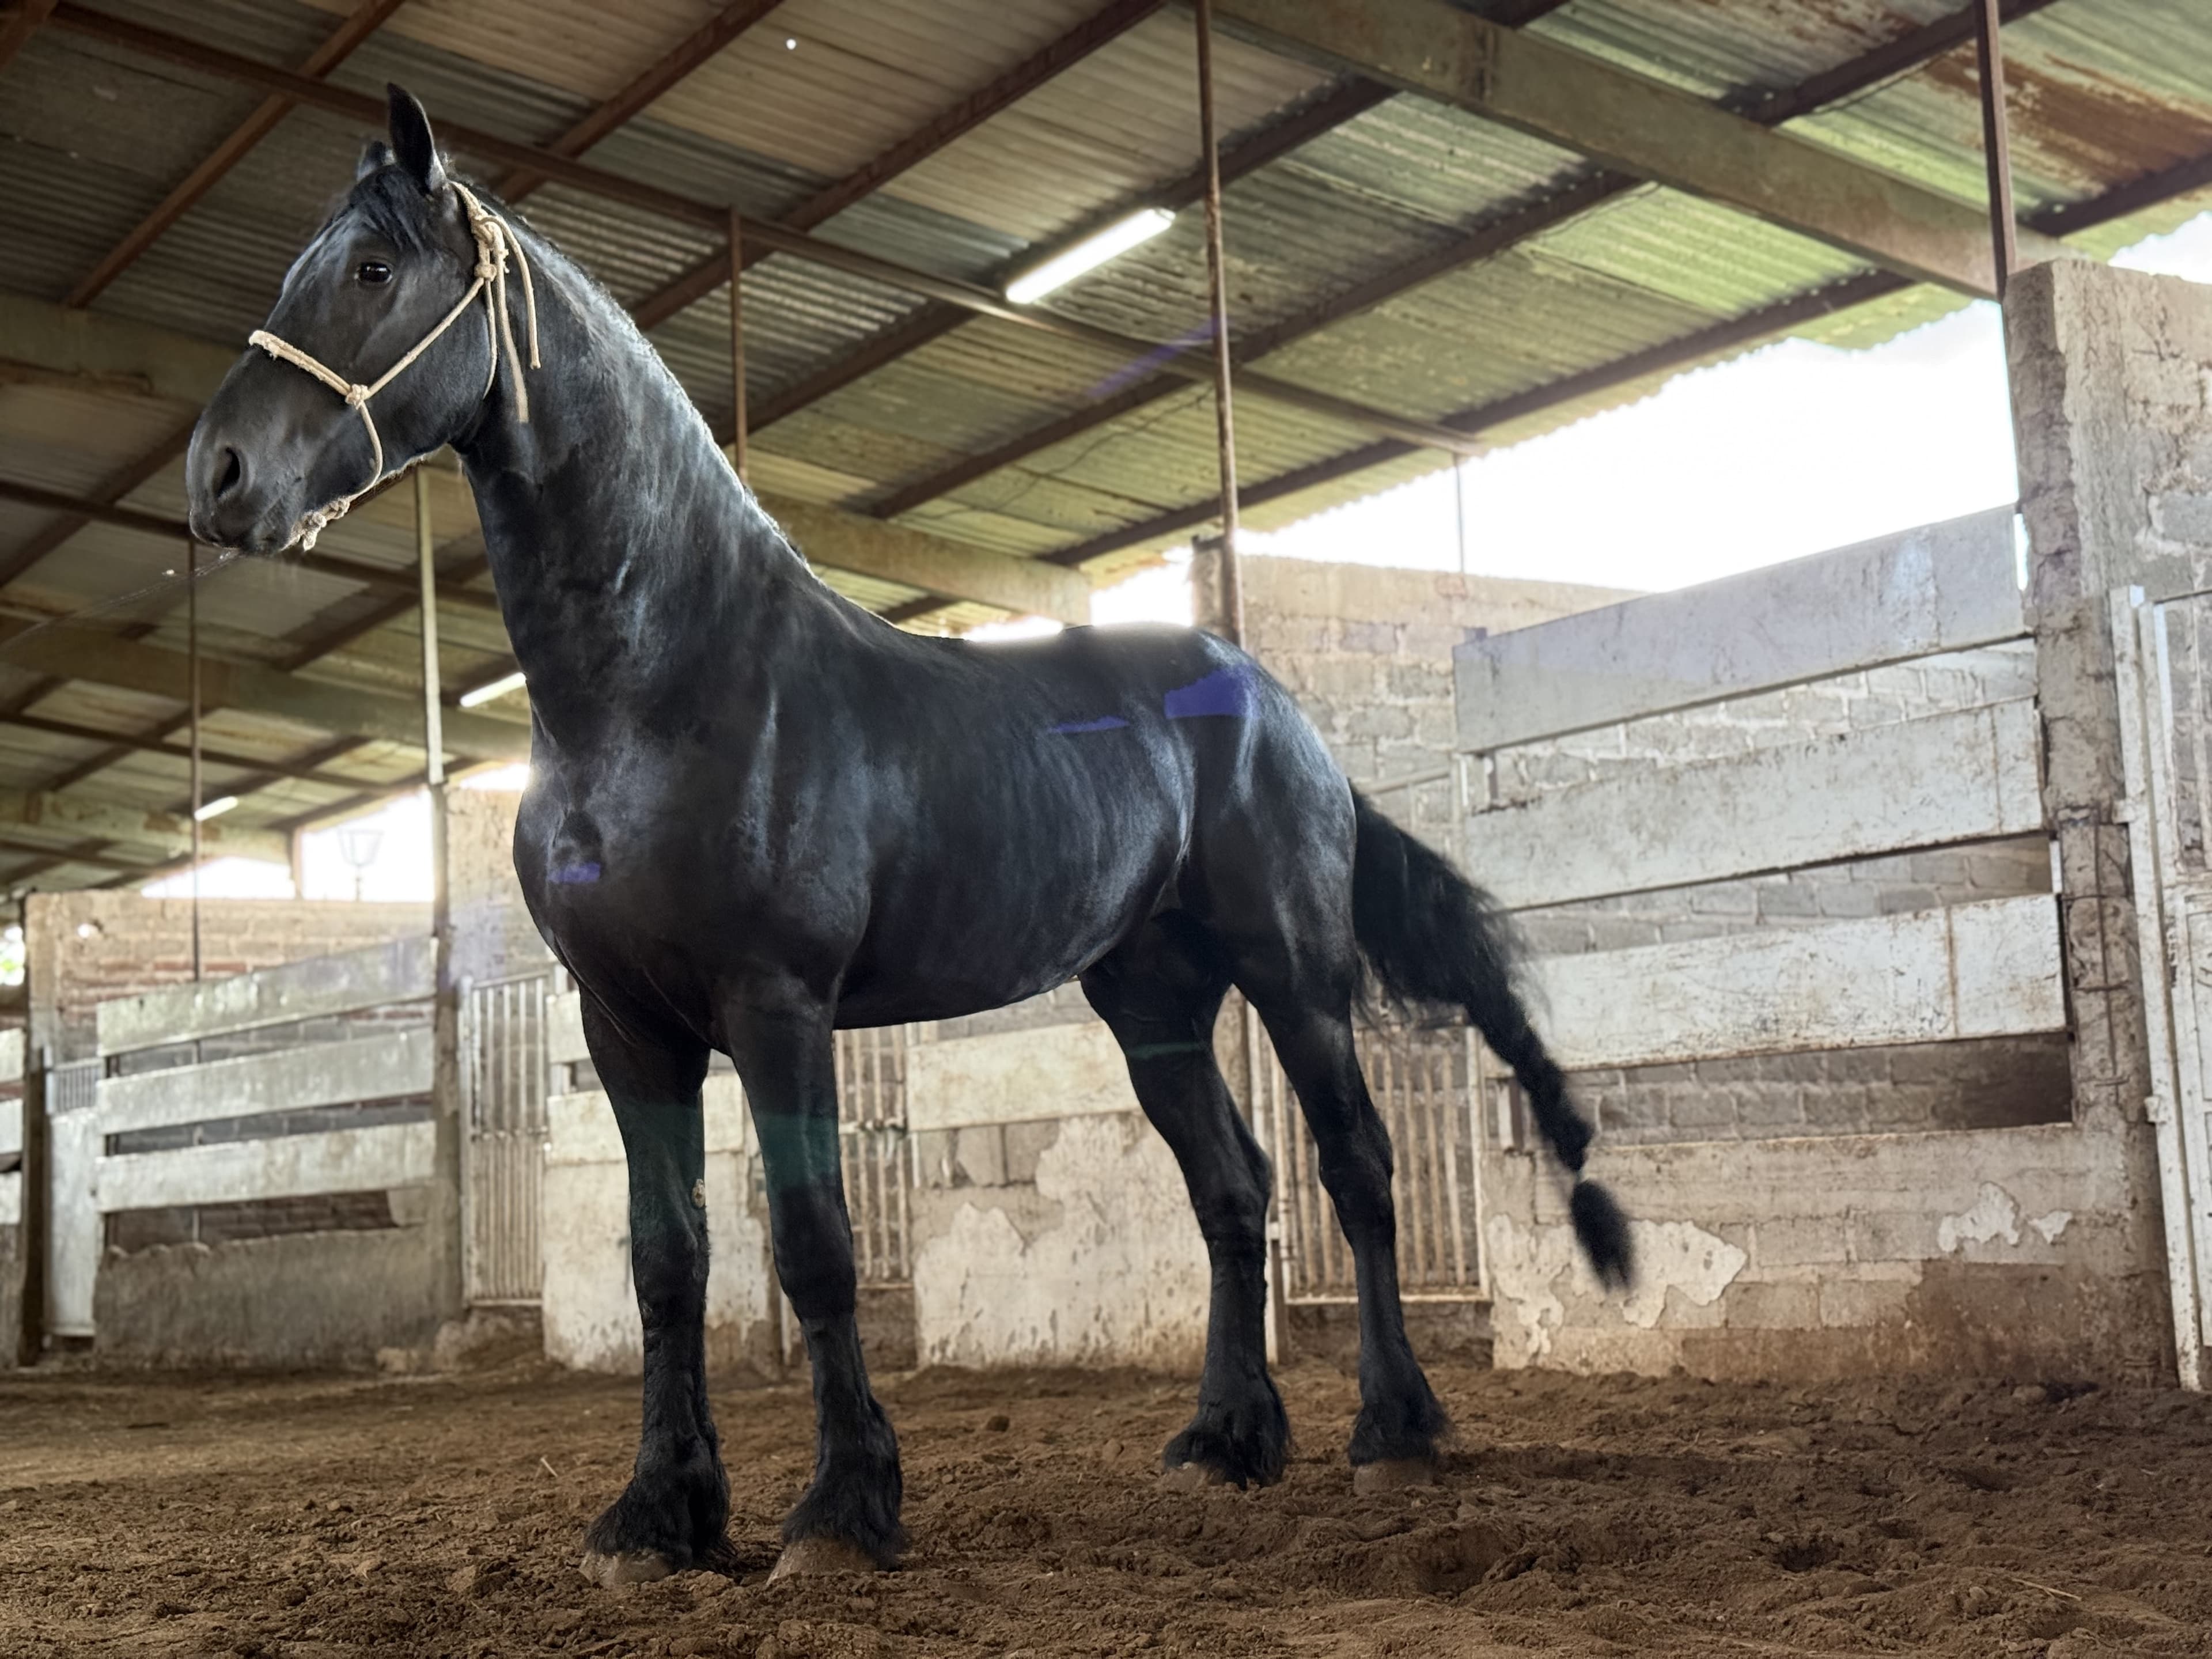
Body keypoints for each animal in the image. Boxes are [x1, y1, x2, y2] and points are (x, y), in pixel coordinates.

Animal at [184, 86, 1632, 1586]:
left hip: (1291, 976)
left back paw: (1393, 1430)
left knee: (1356, 1169)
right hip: (1153, 1002)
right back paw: (1226, 1440)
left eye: (370, 270)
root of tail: (1285, 711)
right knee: (1233, 1190)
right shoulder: (624, 1022)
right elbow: (666, 1260)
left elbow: (813, 1245)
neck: (665, 682)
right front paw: (658, 1515)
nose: (220, 476)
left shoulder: (777, 1007)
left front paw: (839, 1509)